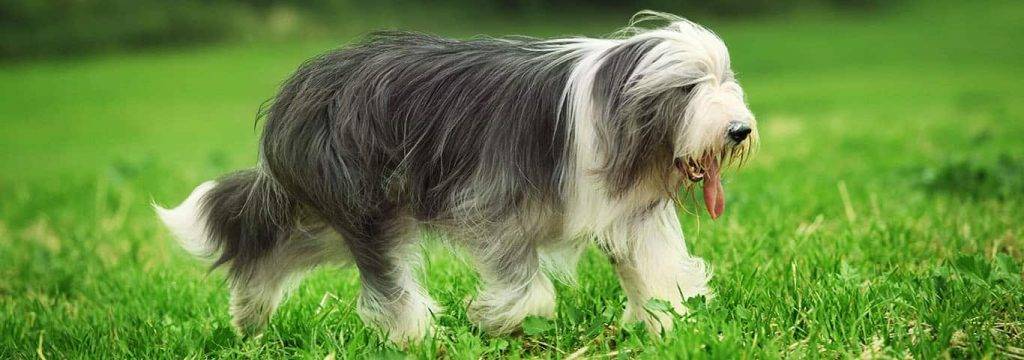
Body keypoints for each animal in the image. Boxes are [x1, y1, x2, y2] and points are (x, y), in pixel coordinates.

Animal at [155, 10, 757, 343]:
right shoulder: (493, 201)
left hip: (329, 215)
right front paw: (505, 322)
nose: (740, 129)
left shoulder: (630, 214)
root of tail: (296, 90)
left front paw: (671, 324)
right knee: (385, 279)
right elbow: (524, 283)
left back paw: (249, 316)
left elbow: (656, 271)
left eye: (724, 78)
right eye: (688, 87)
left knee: (273, 247)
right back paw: (414, 335)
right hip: (361, 201)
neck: (613, 105)